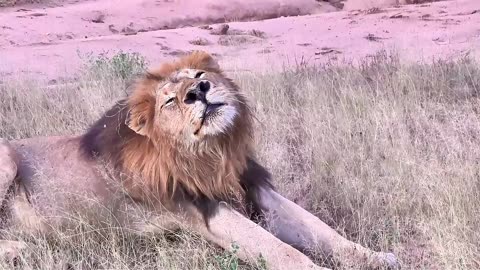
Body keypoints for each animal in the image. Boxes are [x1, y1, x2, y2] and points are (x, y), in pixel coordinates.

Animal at [0, 51, 398, 270]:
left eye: (199, 76)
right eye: (169, 101)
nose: (198, 91)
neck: (213, 153)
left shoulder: (252, 188)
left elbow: (323, 231)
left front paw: (377, 258)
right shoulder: (203, 209)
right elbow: (284, 253)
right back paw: (20, 249)